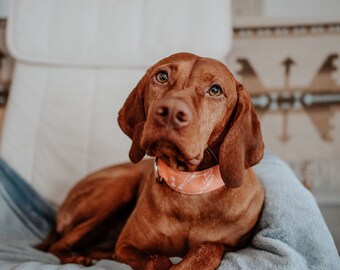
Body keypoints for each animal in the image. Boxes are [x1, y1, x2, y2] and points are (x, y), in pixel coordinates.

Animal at [37, 53, 266, 270]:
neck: (189, 187)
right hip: (120, 187)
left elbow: (210, 246)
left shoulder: (235, 246)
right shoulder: (126, 246)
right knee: (58, 245)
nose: (171, 111)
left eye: (215, 90)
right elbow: (156, 260)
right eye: (162, 76)